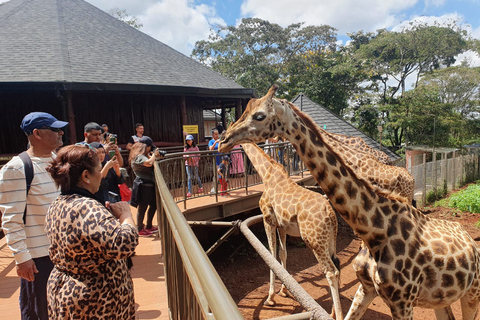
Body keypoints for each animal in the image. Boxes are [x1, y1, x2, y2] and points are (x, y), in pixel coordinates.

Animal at [242, 143, 344, 320]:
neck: (267, 173)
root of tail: (330, 212)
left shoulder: (268, 220)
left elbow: (271, 255)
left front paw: (270, 298)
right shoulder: (282, 226)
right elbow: (283, 254)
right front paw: (283, 291)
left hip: (315, 241)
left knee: (331, 272)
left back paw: (337, 314)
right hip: (331, 239)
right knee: (337, 264)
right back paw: (331, 311)